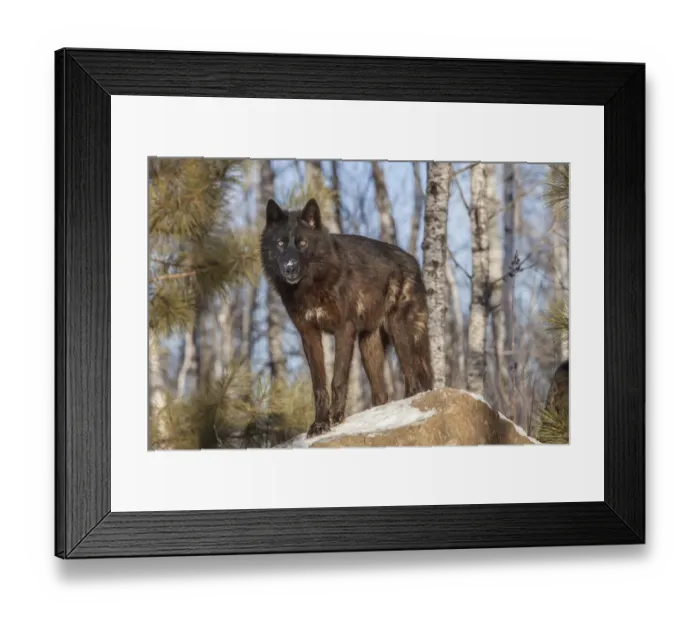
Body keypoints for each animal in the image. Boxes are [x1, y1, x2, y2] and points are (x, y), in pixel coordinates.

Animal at [261, 198, 434, 438]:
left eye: (302, 243)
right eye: (280, 243)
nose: (290, 267)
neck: (312, 286)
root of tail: (414, 262)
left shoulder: (344, 330)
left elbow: (338, 379)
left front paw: (335, 417)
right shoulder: (309, 335)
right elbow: (319, 385)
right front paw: (320, 424)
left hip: (400, 333)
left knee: (414, 381)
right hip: (368, 346)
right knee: (382, 395)